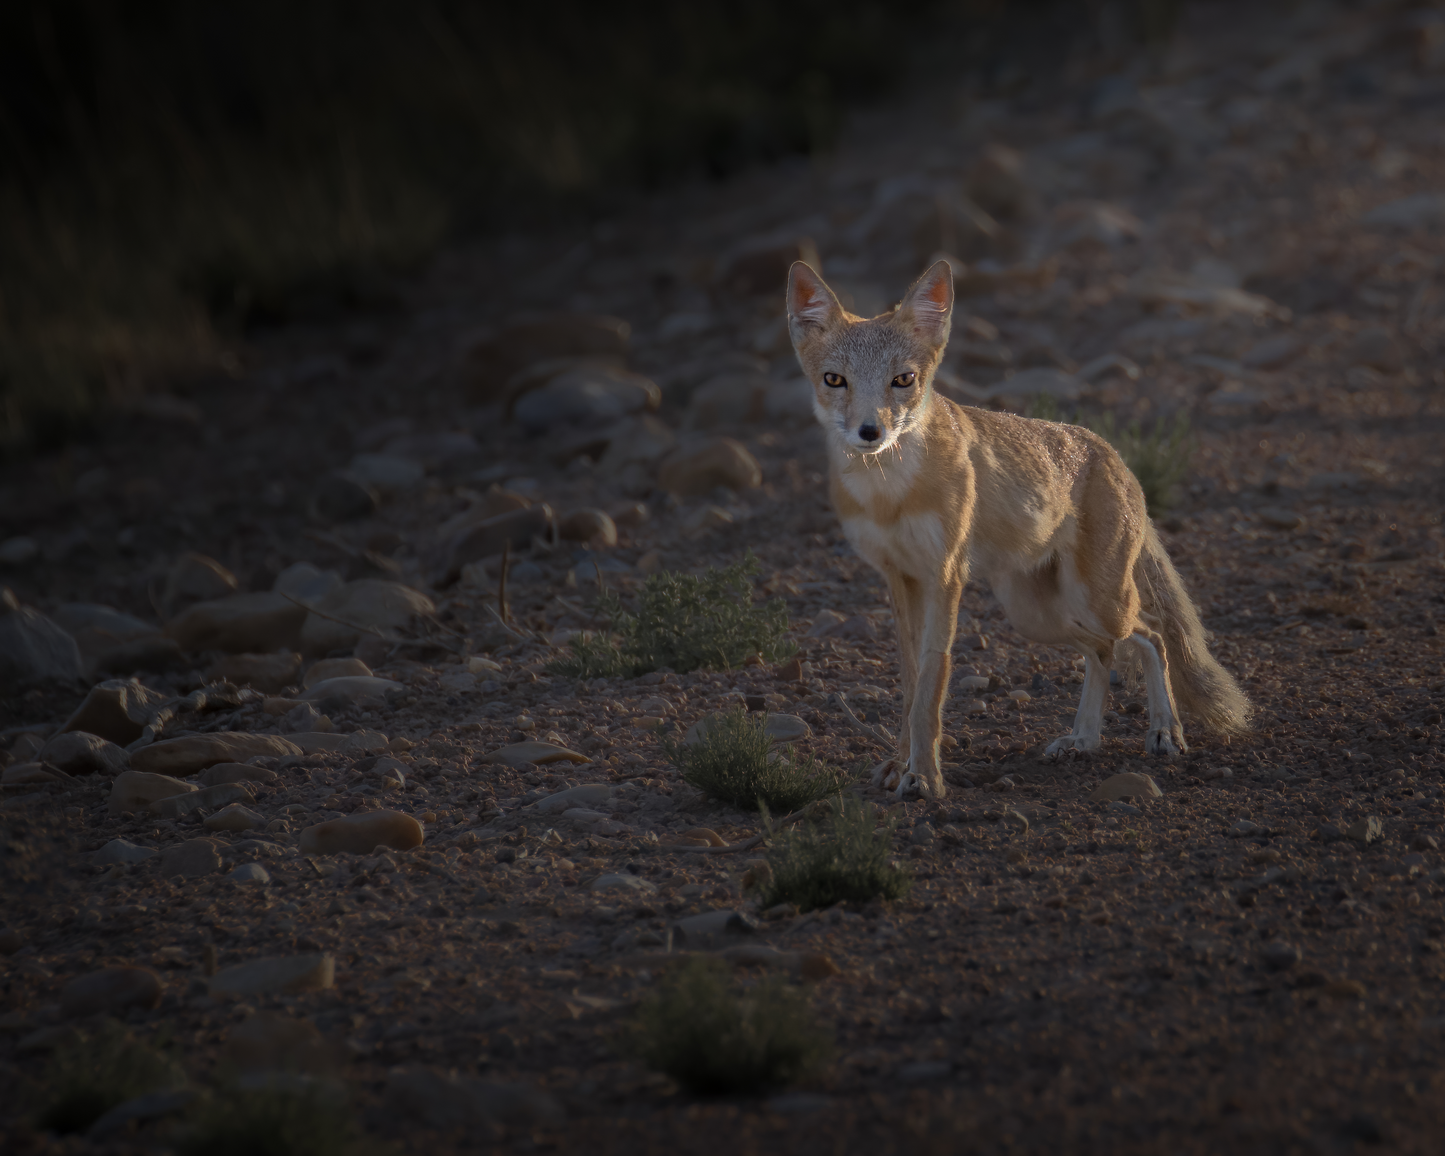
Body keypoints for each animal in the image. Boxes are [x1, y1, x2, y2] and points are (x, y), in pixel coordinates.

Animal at [786, 257, 1248, 797]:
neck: (890, 495)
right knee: (1105, 651)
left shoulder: (944, 577)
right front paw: (901, 765)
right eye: (834, 380)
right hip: (1037, 615)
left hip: (1096, 603)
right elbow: (909, 682)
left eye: (903, 380)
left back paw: (1165, 732)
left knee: (1151, 635)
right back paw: (1083, 739)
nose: (870, 432)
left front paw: (924, 778)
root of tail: (1110, 451)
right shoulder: (899, 577)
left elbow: (931, 683)